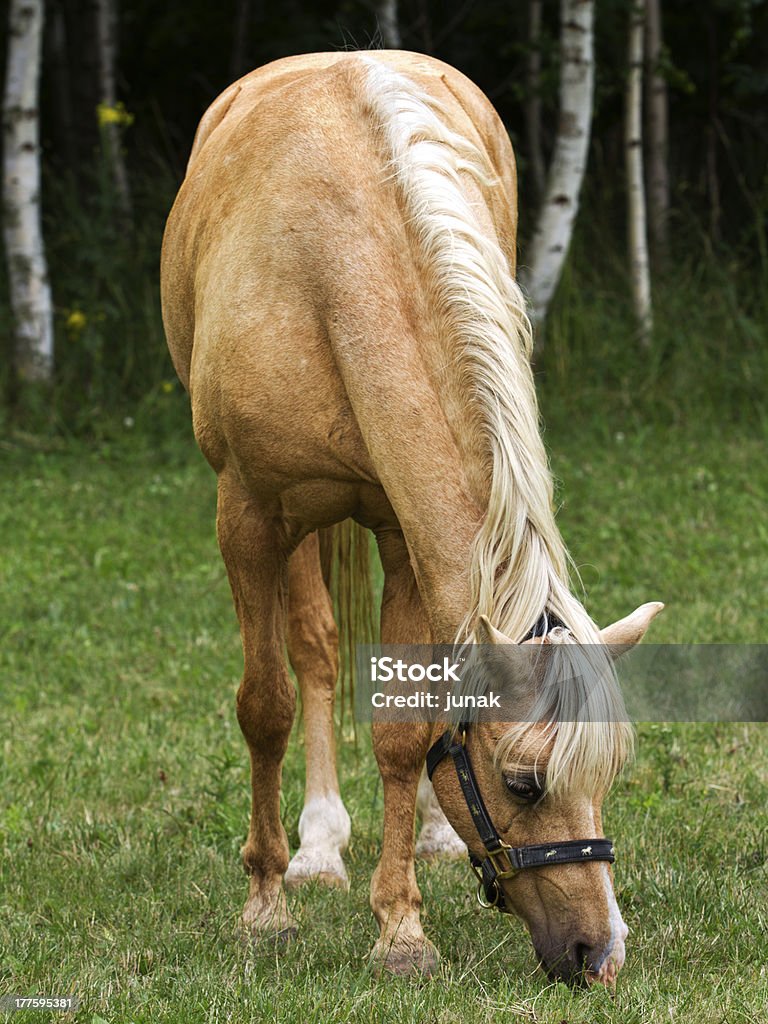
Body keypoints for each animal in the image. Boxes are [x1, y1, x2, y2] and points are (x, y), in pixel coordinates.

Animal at [160, 49, 663, 983]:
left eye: (608, 774)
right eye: (524, 782)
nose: (600, 952)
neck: (333, 274)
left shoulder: (402, 535)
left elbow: (408, 728)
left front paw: (400, 928)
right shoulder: (248, 514)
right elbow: (266, 705)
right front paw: (266, 906)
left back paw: (426, 835)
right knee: (313, 652)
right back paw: (317, 846)